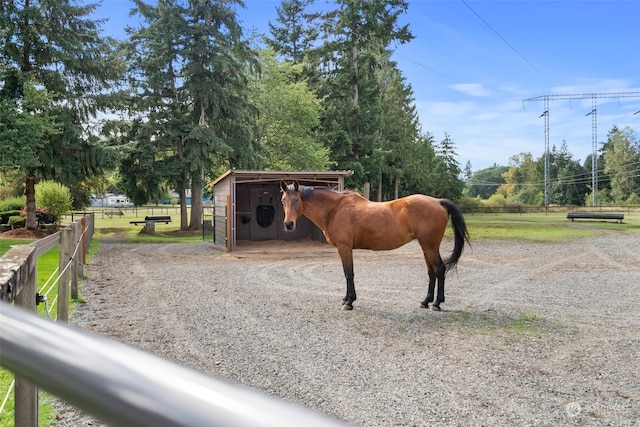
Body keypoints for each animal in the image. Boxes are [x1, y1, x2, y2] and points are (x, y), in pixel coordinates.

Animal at [280, 181, 470, 310]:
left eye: (296, 200)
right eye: (283, 200)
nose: (288, 224)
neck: (335, 209)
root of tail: (438, 202)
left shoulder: (344, 247)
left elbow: (348, 273)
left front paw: (349, 302)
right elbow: (347, 273)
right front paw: (346, 299)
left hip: (430, 246)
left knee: (439, 270)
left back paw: (437, 303)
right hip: (426, 247)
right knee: (431, 272)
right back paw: (425, 301)